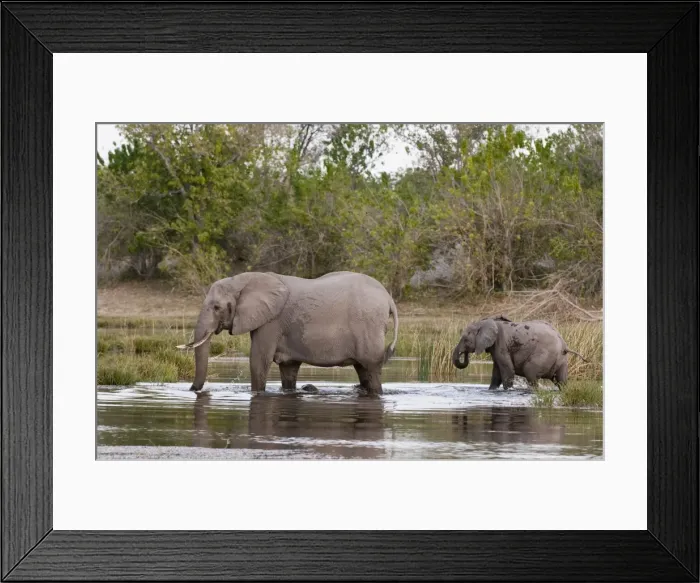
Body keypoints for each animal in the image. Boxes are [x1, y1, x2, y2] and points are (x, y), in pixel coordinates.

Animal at [178, 271, 399, 395]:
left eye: (217, 307)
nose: (193, 389)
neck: (243, 280)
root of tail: (388, 298)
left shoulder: (271, 321)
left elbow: (258, 360)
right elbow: (288, 368)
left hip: (368, 326)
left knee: (371, 369)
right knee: (363, 371)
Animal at [451, 315, 587, 390]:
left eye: (465, 339)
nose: (465, 354)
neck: (486, 321)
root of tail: (564, 345)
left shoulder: (501, 345)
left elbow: (508, 372)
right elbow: (496, 374)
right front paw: (492, 390)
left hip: (545, 354)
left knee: (530, 373)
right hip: (562, 360)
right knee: (561, 381)